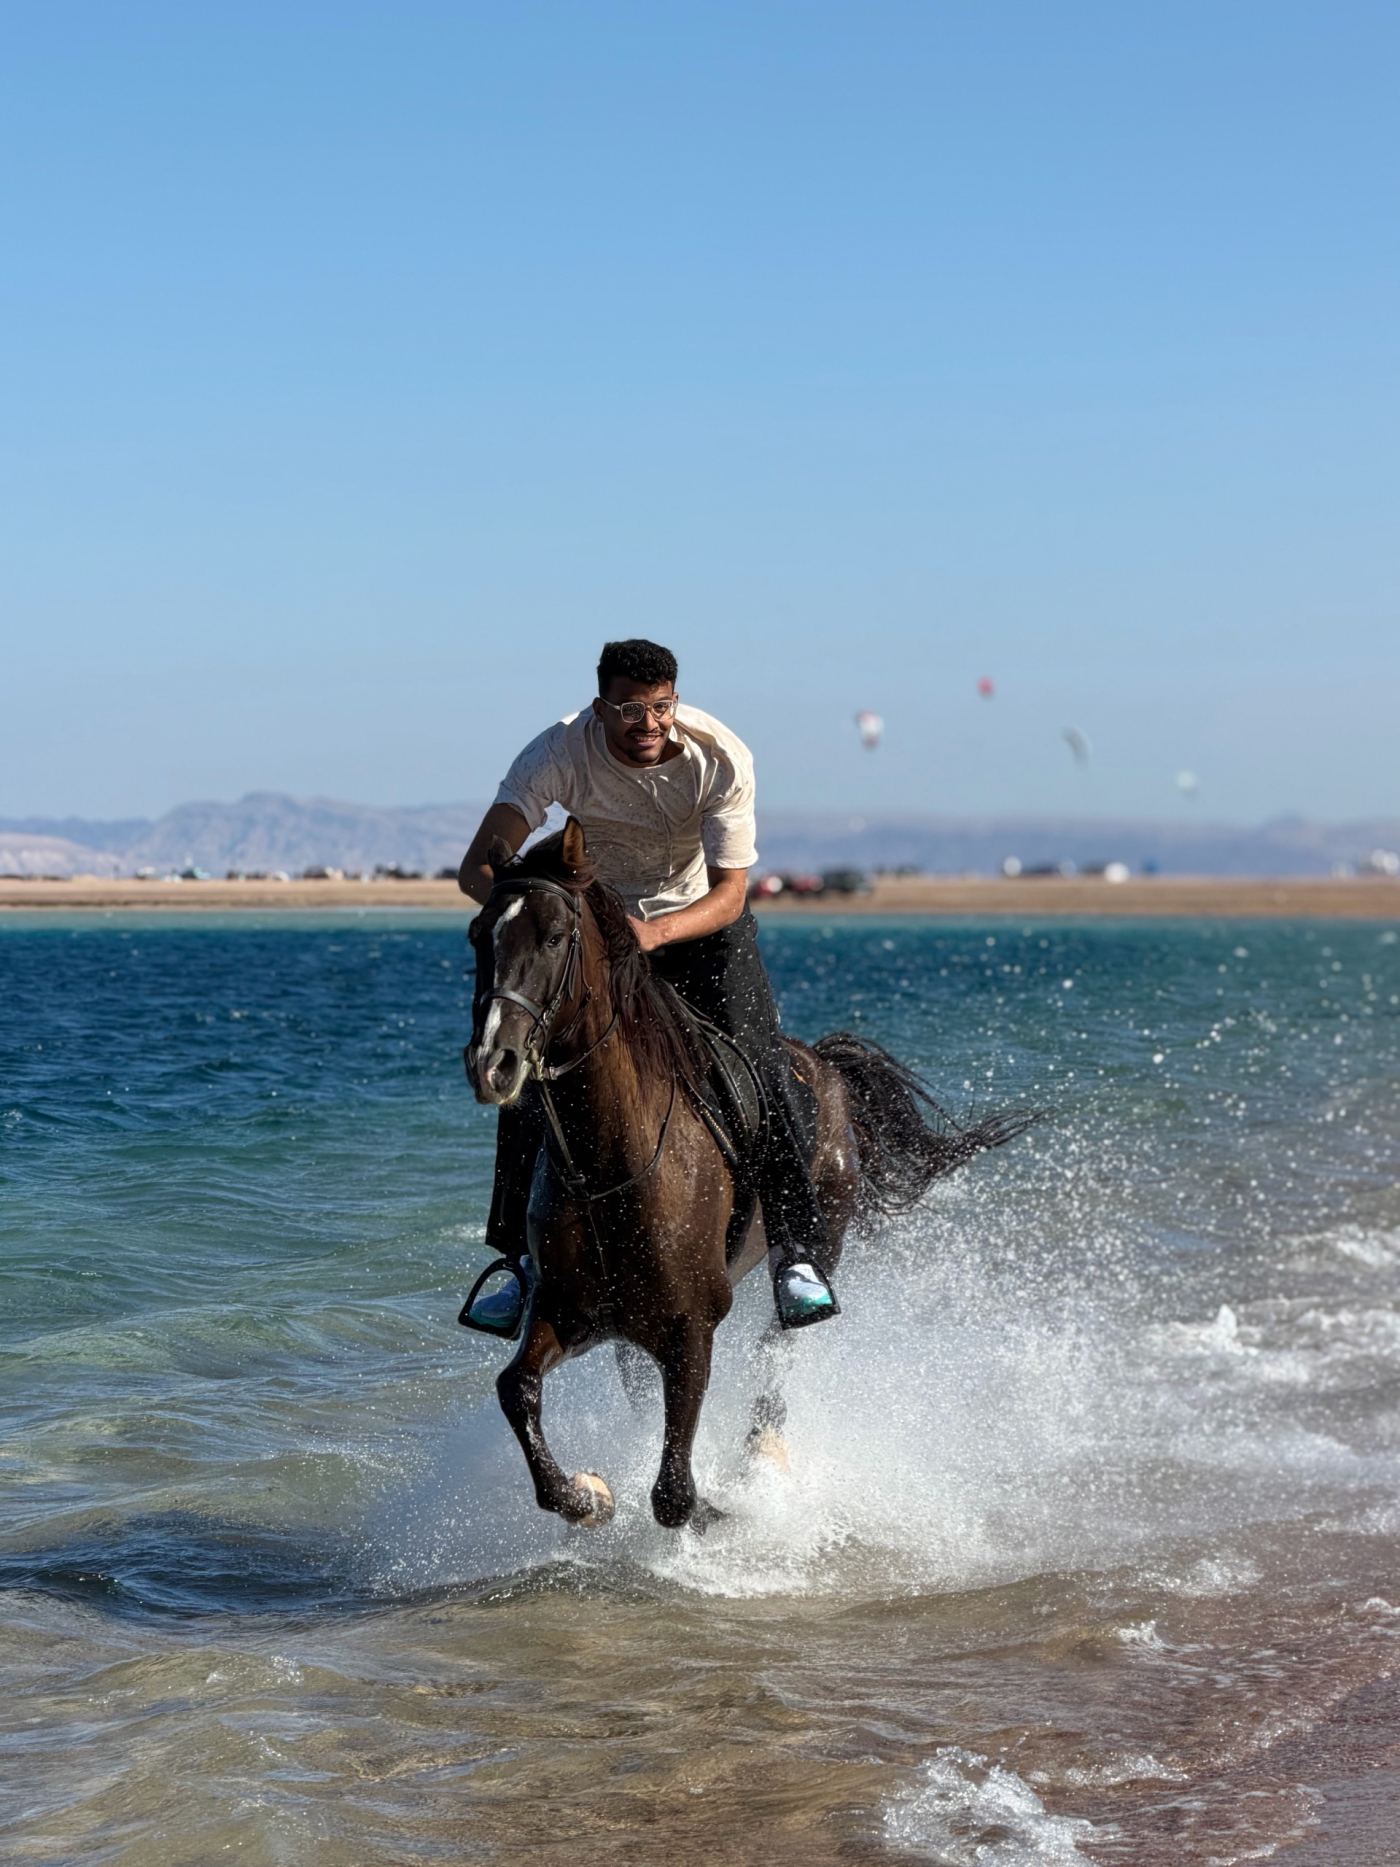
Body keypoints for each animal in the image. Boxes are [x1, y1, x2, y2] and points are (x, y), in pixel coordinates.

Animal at [465, 817, 1034, 1533]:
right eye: (478, 934)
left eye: (553, 937)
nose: (493, 1063)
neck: (612, 1166)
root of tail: (823, 1064)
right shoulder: (567, 1311)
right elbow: (517, 1390)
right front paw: (589, 1496)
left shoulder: (691, 1329)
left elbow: (674, 1494)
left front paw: (724, 1508)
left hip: (823, 1238)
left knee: (776, 1348)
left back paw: (763, 1452)